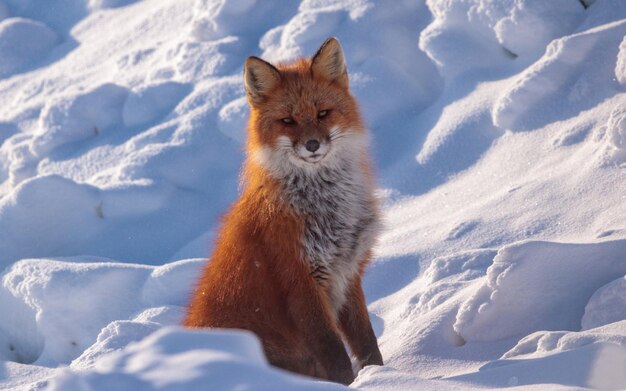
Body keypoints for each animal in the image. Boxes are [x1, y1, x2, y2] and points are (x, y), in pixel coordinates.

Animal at [183, 37, 382, 386]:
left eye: (323, 113)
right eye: (288, 121)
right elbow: (334, 352)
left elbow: (366, 341)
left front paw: (385, 375)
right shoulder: (299, 280)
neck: (327, 208)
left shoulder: (348, 273)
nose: (313, 145)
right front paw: (349, 385)